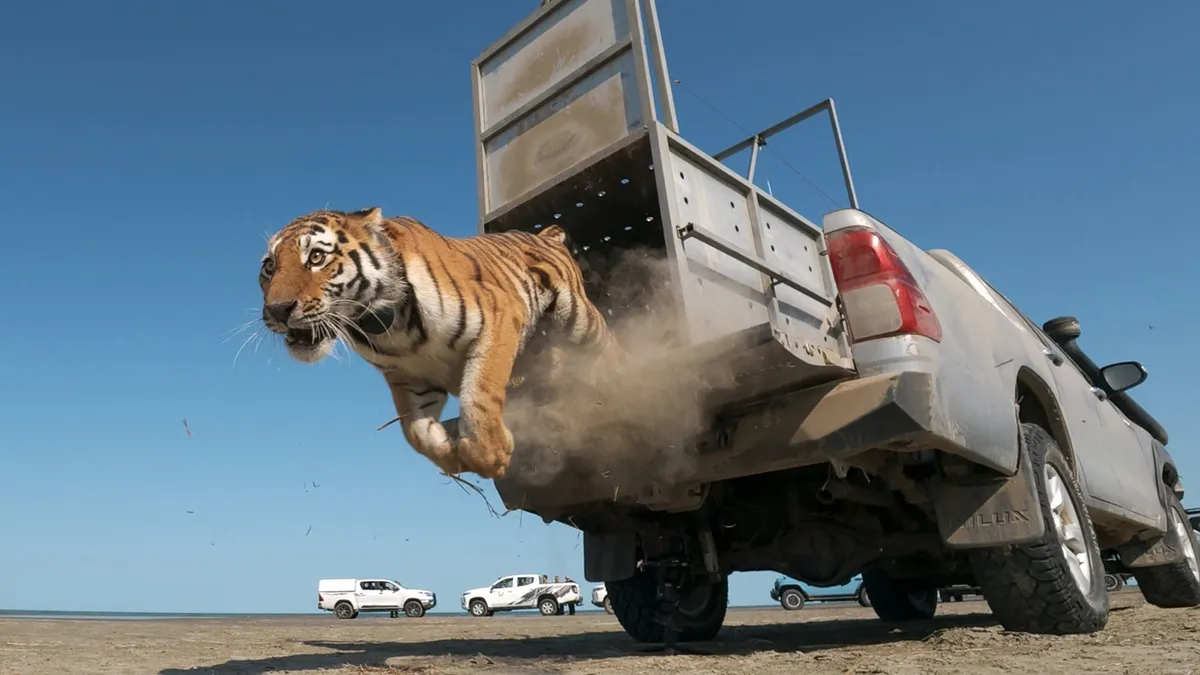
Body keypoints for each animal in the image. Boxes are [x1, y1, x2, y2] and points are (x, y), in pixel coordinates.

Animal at [258, 206, 622, 480]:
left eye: (317, 257)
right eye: (269, 267)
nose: (277, 310)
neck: (383, 324)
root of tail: (544, 234)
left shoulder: (499, 315)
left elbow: (480, 397)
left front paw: (493, 454)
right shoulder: (407, 376)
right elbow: (416, 433)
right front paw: (452, 454)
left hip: (577, 318)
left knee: (608, 343)